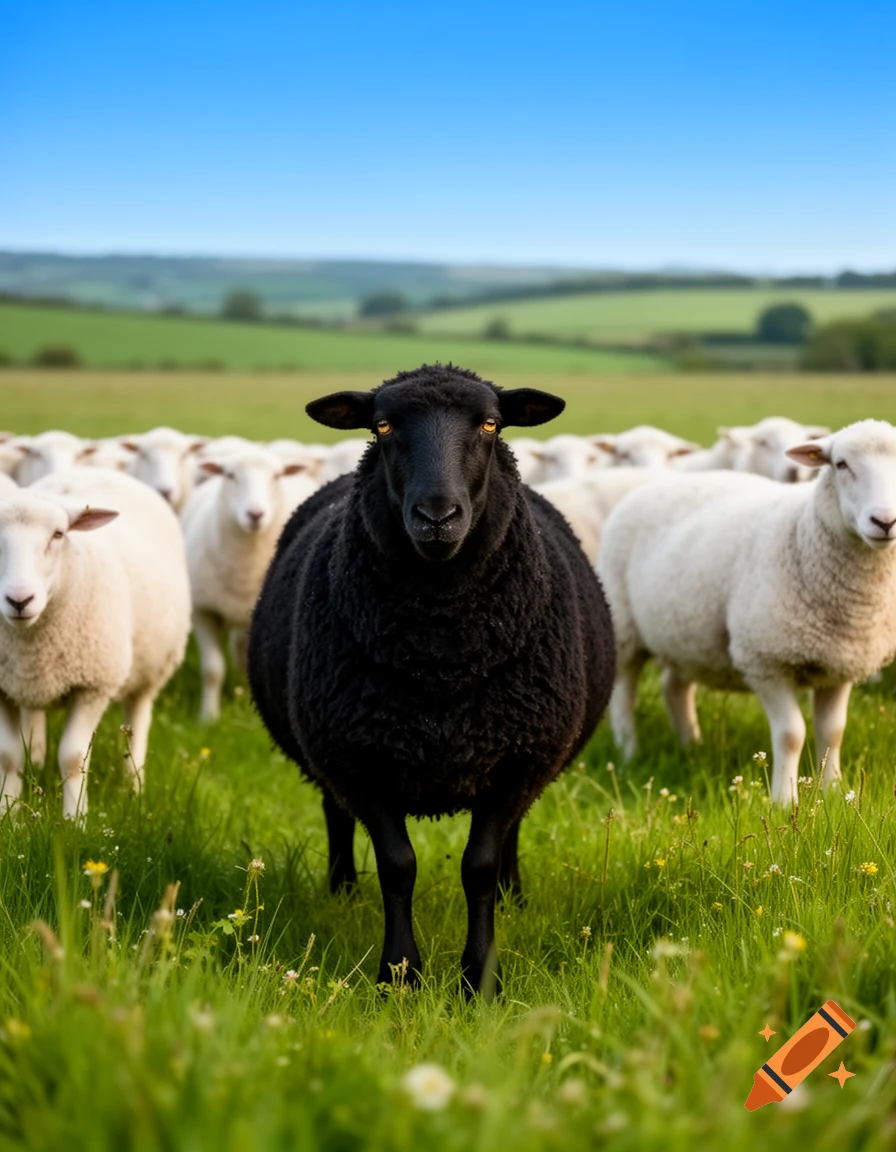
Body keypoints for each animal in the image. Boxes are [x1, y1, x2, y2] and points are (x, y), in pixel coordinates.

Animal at [0, 469, 191, 816]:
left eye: (58, 534)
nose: (19, 600)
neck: (30, 639)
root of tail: (100, 470)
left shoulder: (93, 685)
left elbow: (73, 758)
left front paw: (74, 819)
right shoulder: (2, 686)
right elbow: (8, 756)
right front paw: (9, 817)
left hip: (150, 670)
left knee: (138, 719)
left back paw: (134, 784)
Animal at [181, 445, 319, 721]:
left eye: (277, 476)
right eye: (230, 475)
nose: (255, 514)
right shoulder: (203, 612)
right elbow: (212, 670)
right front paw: (208, 717)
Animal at [248, 364, 615, 995]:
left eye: (491, 423)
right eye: (383, 425)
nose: (437, 518)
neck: (442, 654)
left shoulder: (516, 758)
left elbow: (480, 867)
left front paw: (480, 979)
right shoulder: (357, 757)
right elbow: (398, 866)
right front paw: (400, 975)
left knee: (513, 832)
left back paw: (515, 896)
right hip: (325, 751)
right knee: (335, 814)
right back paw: (342, 892)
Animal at [597, 419, 896, 805]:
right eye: (841, 464)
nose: (885, 521)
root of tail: (654, 482)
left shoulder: (841, 663)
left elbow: (832, 731)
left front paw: (834, 791)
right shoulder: (765, 660)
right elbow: (791, 734)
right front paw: (784, 801)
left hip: (685, 631)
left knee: (675, 687)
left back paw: (690, 745)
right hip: (623, 625)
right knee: (624, 693)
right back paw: (628, 753)